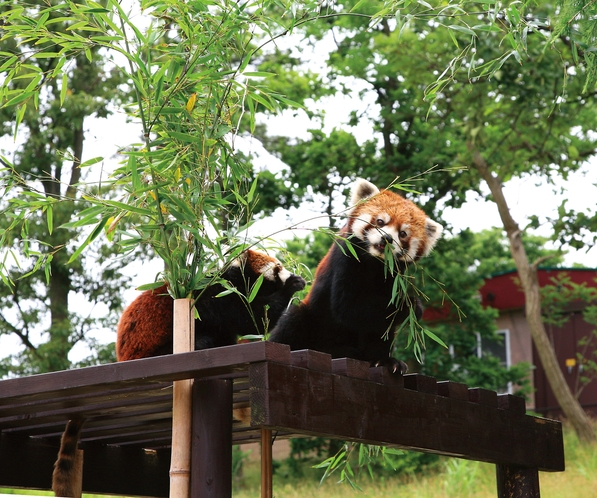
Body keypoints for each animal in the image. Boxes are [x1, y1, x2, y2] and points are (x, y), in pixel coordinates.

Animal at [51, 247, 304, 496]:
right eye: (278, 267)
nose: (290, 272)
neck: (231, 280)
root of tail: (122, 358)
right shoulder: (213, 298)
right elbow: (251, 317)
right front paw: (292, 286)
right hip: (159, 352)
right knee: (201, 340)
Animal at [268, 179, 440, 374]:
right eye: (380, 221)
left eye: (403, 234)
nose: (387, 238)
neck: (374, 261)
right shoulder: (346, 257)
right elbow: (348, 307)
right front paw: (410, 306)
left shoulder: (393, 277)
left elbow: (379, 325)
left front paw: (384, 360)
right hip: (309, 318)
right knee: (292, 322)